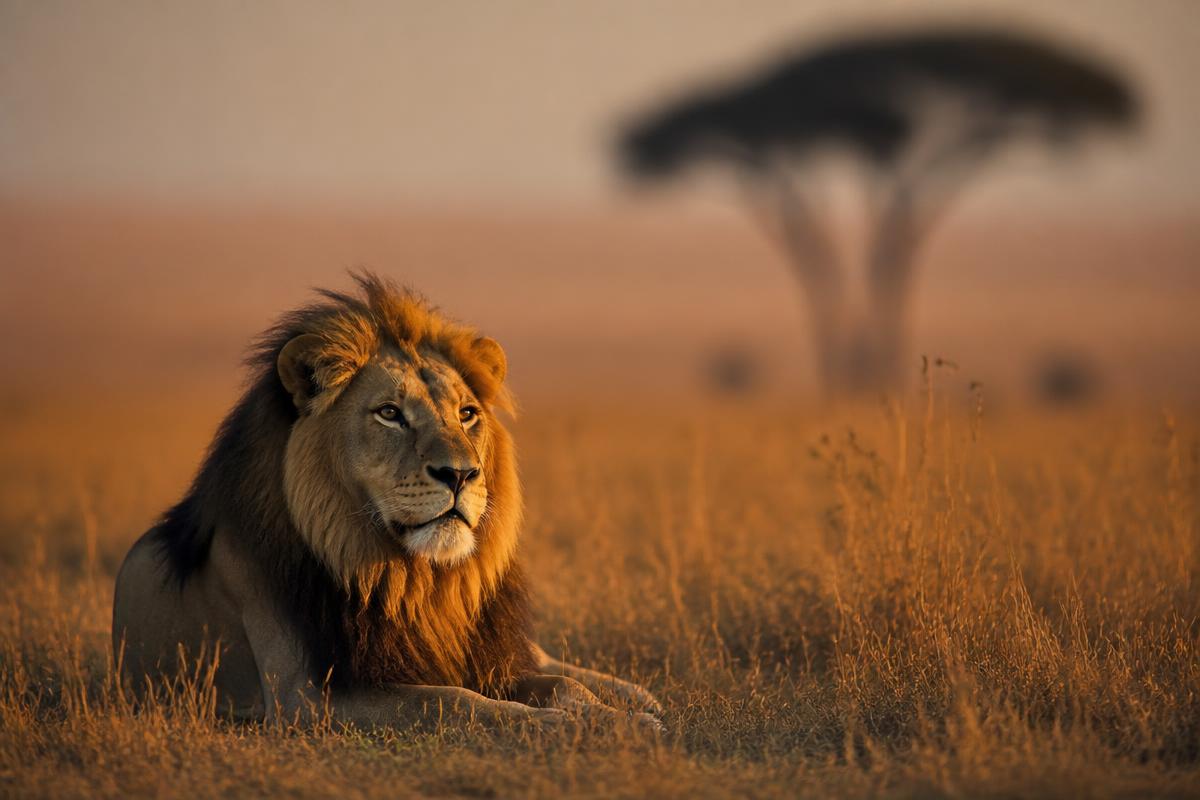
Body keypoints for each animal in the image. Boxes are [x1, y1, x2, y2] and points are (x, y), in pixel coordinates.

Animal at [112, 274, 662, 732]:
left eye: (467, 413)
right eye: (390, 414)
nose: (460, 474)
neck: (416, 583)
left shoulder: (482, 656)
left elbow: (564, 684)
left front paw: (621, 716)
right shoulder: (307, 697)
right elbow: (452, 699)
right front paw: (576, 725)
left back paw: (643, 697)